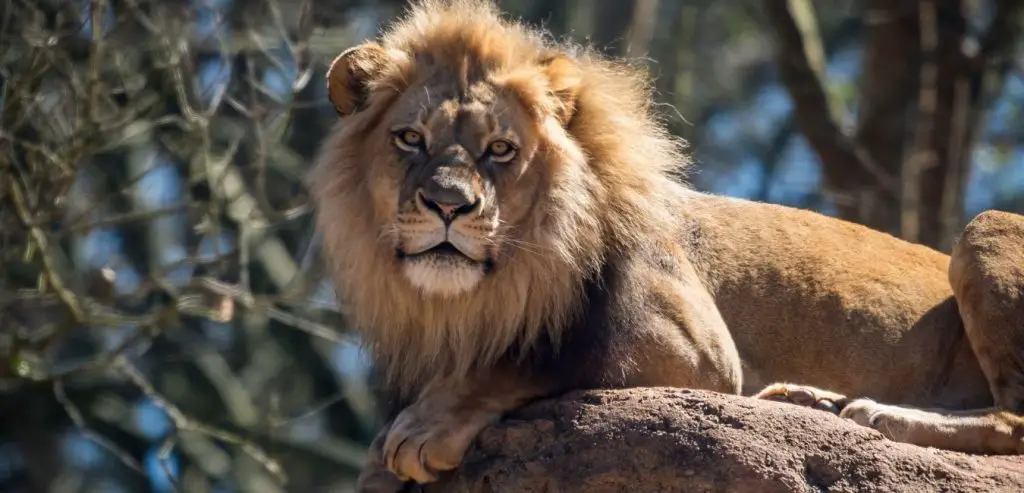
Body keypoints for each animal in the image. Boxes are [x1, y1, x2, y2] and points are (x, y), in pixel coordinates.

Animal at [309, 0, 1024, 490]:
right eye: (410, 140)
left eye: (501, 150)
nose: (449, 206)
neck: (480, 297)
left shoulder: (694, 352)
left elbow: (536, 359)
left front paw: (423, 428)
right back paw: (810, 400)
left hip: (986, 224)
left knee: (1014, 418)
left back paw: (878, 413)